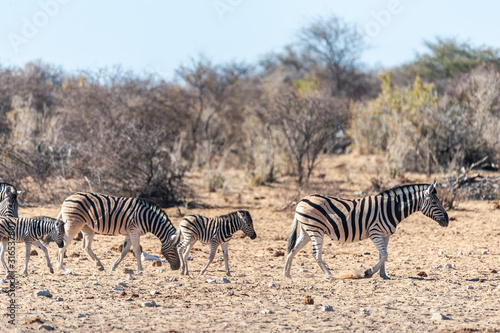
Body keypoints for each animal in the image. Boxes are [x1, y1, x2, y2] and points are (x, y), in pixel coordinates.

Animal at [284, 182, 452, 278]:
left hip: (306, 231)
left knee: (292, 250)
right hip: (316, 230)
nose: (447, 220)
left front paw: (384, 275)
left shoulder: (385, 235)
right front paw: (369, 272)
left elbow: (383, 255)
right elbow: (385, 254)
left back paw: (287, 275)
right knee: (316, 254)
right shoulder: (375, 232)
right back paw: (329, 275)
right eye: (434, 202)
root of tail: (301, 200)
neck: (392, 208)